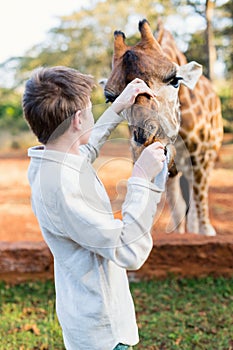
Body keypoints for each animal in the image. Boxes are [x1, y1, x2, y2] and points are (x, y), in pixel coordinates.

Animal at [104, 18, 223, 235]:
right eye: (111, 98)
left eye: (175, 80)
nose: (145, 141)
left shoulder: (201, 156)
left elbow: (199, 196)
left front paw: (206, 230)